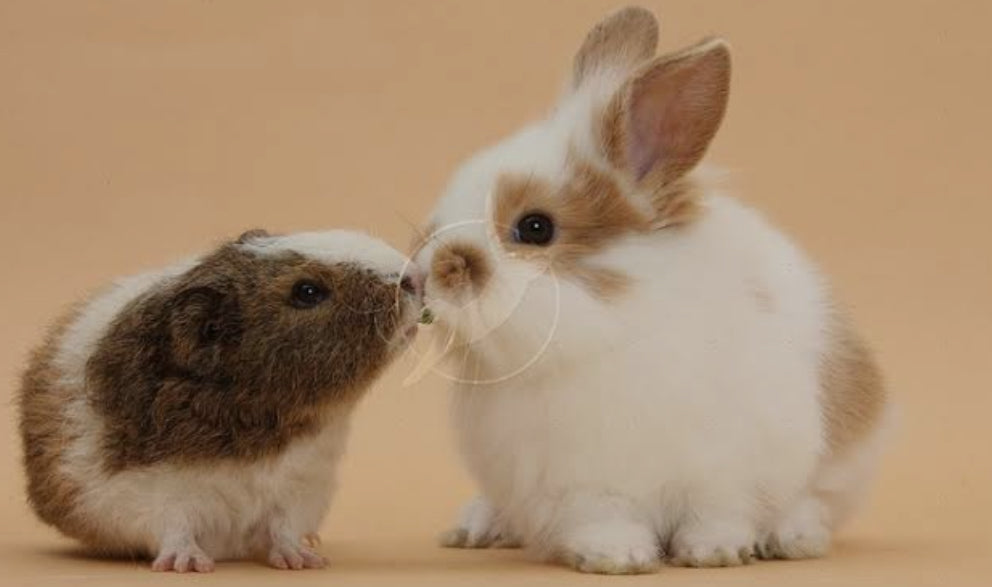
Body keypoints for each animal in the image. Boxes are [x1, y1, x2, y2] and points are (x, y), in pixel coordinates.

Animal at [18, 229, 424, 572]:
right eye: (307, 291)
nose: (415, 277)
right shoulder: (146, 493)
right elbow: (173, 527)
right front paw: (187, 565)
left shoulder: (302, 484)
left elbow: (283, 528)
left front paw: (304, 561)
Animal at [412, 6, 890, 574]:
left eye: (535, 228)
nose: (421, 275)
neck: (612, 333)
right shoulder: (584, 486)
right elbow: (605, 519)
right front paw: (618, 558)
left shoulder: (729, 470)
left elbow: (720, 513)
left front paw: (715, 552)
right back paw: (476, 528)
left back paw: (794, 538)